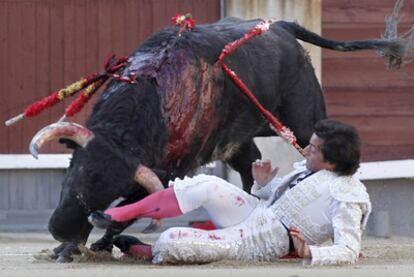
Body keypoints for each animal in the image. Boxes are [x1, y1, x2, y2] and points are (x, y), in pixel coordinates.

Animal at [31, 17, 410, 260]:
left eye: (111, 187)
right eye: (74, 172)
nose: (60, 229)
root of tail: (282, 26)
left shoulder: (172, 170)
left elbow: (130, 207)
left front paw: (88, 241)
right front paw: (70, 247)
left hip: (306, 122)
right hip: (239, 142)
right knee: (248, 167)